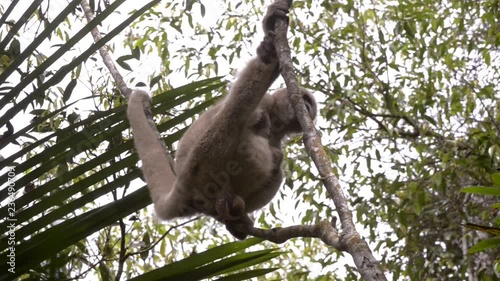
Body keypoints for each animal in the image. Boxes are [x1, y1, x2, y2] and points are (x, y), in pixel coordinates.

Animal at [126, 0, 316, 240]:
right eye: (304, 100)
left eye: (310, 105)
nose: (307, 107)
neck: (274, 122)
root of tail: (182, 185)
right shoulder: (264, 105)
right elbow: (240, 103)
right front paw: (269, 48)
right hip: (199, 165)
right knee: (235, 117)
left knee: (275, 158)